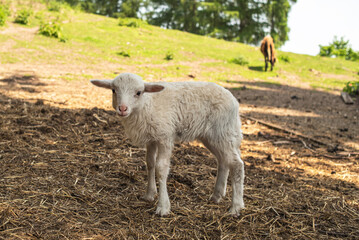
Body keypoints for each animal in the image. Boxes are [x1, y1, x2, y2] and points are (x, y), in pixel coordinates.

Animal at [91, 72, 246, 216]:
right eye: (113, 90)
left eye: (138, 92)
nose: (122, 108)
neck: (146, 105)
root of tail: (234, 100)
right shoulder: (152, 138)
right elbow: (150, 163)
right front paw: (149, 194)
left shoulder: (165, 137)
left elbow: (161, 168)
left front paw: (163, 206)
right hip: (212, 136)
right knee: (223, 161)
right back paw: (216, 196)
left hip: (222, 132)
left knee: (237, 164)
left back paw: (236, 207)